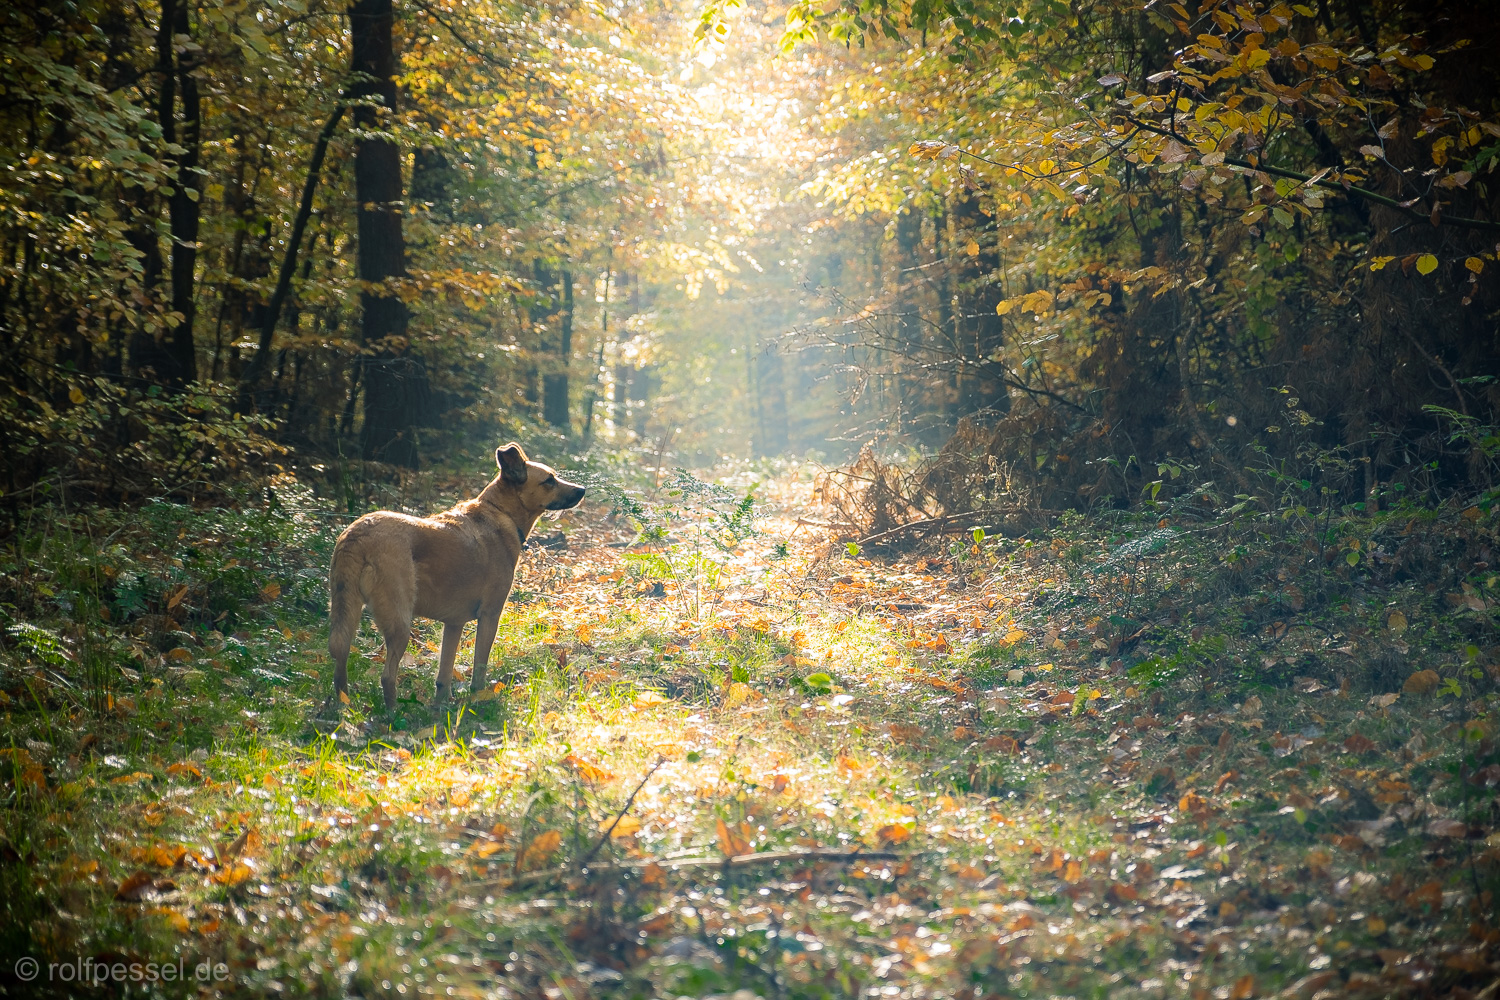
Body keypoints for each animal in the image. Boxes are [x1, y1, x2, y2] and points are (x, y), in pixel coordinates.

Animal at [328, 443, 585, 710]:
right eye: (549, 480)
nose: (583, 490)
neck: (500, 512)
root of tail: (358, 533)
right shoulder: (490, 616)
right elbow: (479, 669)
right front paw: (478, 700)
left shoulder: (453, 624)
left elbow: (444, 675)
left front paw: (440, 708)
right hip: (400, 622)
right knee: (387, 676)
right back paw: (393, 714)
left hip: (346, 613)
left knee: (340, 660)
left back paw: (343, 707)